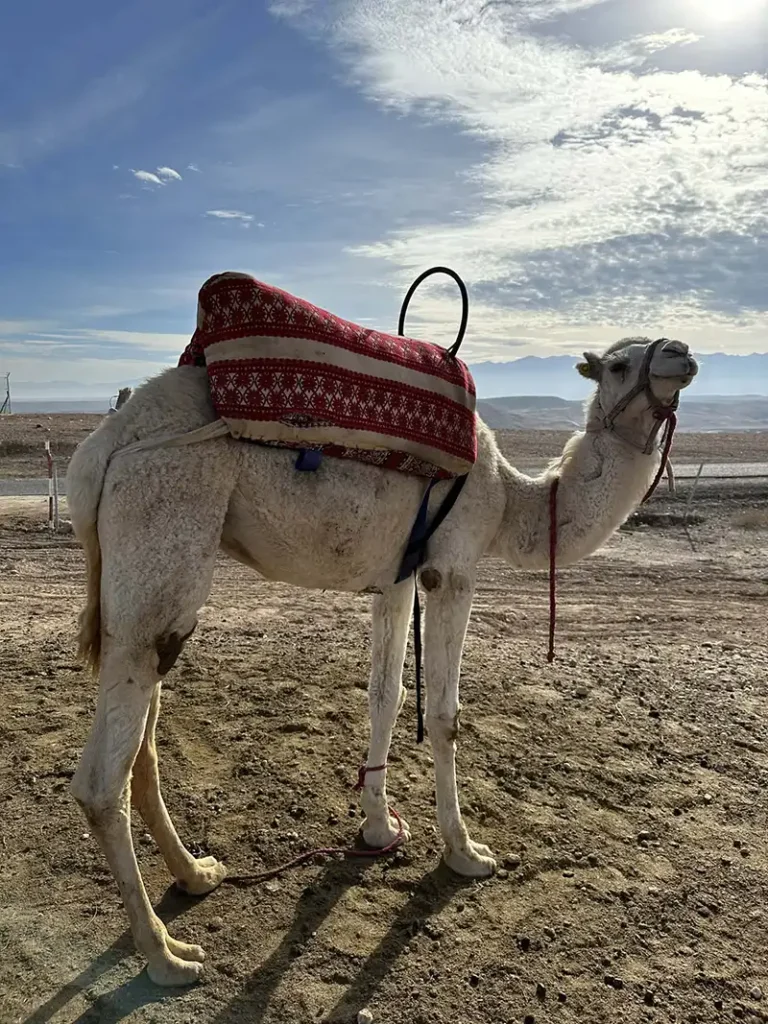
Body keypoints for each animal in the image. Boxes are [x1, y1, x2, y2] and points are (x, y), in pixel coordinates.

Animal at [66, 334, 697, 985]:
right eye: (619, 365)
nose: (682, 352)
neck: (508, 500)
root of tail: (99, 451)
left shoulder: (397, 576)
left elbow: (385, 696)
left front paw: (379, 826)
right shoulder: (451, 567)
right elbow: (443, 717)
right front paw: (466, 852)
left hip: (145, 596)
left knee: (142, 740)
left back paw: (197, 875)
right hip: (161, 535)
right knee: (100, 783)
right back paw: (166, 955)